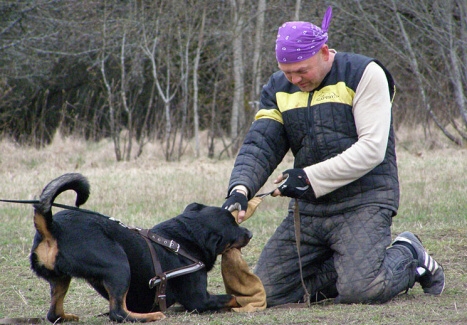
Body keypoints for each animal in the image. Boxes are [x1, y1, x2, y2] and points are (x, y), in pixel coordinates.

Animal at [29, 172, 252, 322]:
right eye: (234, 227)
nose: (250, 233)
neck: (185, 239)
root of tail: (53, 227)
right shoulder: (199, 299)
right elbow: (232, 298)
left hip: (60, 279)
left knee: (53, 313)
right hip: (118, 265)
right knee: (118, 313)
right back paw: (150, 316)